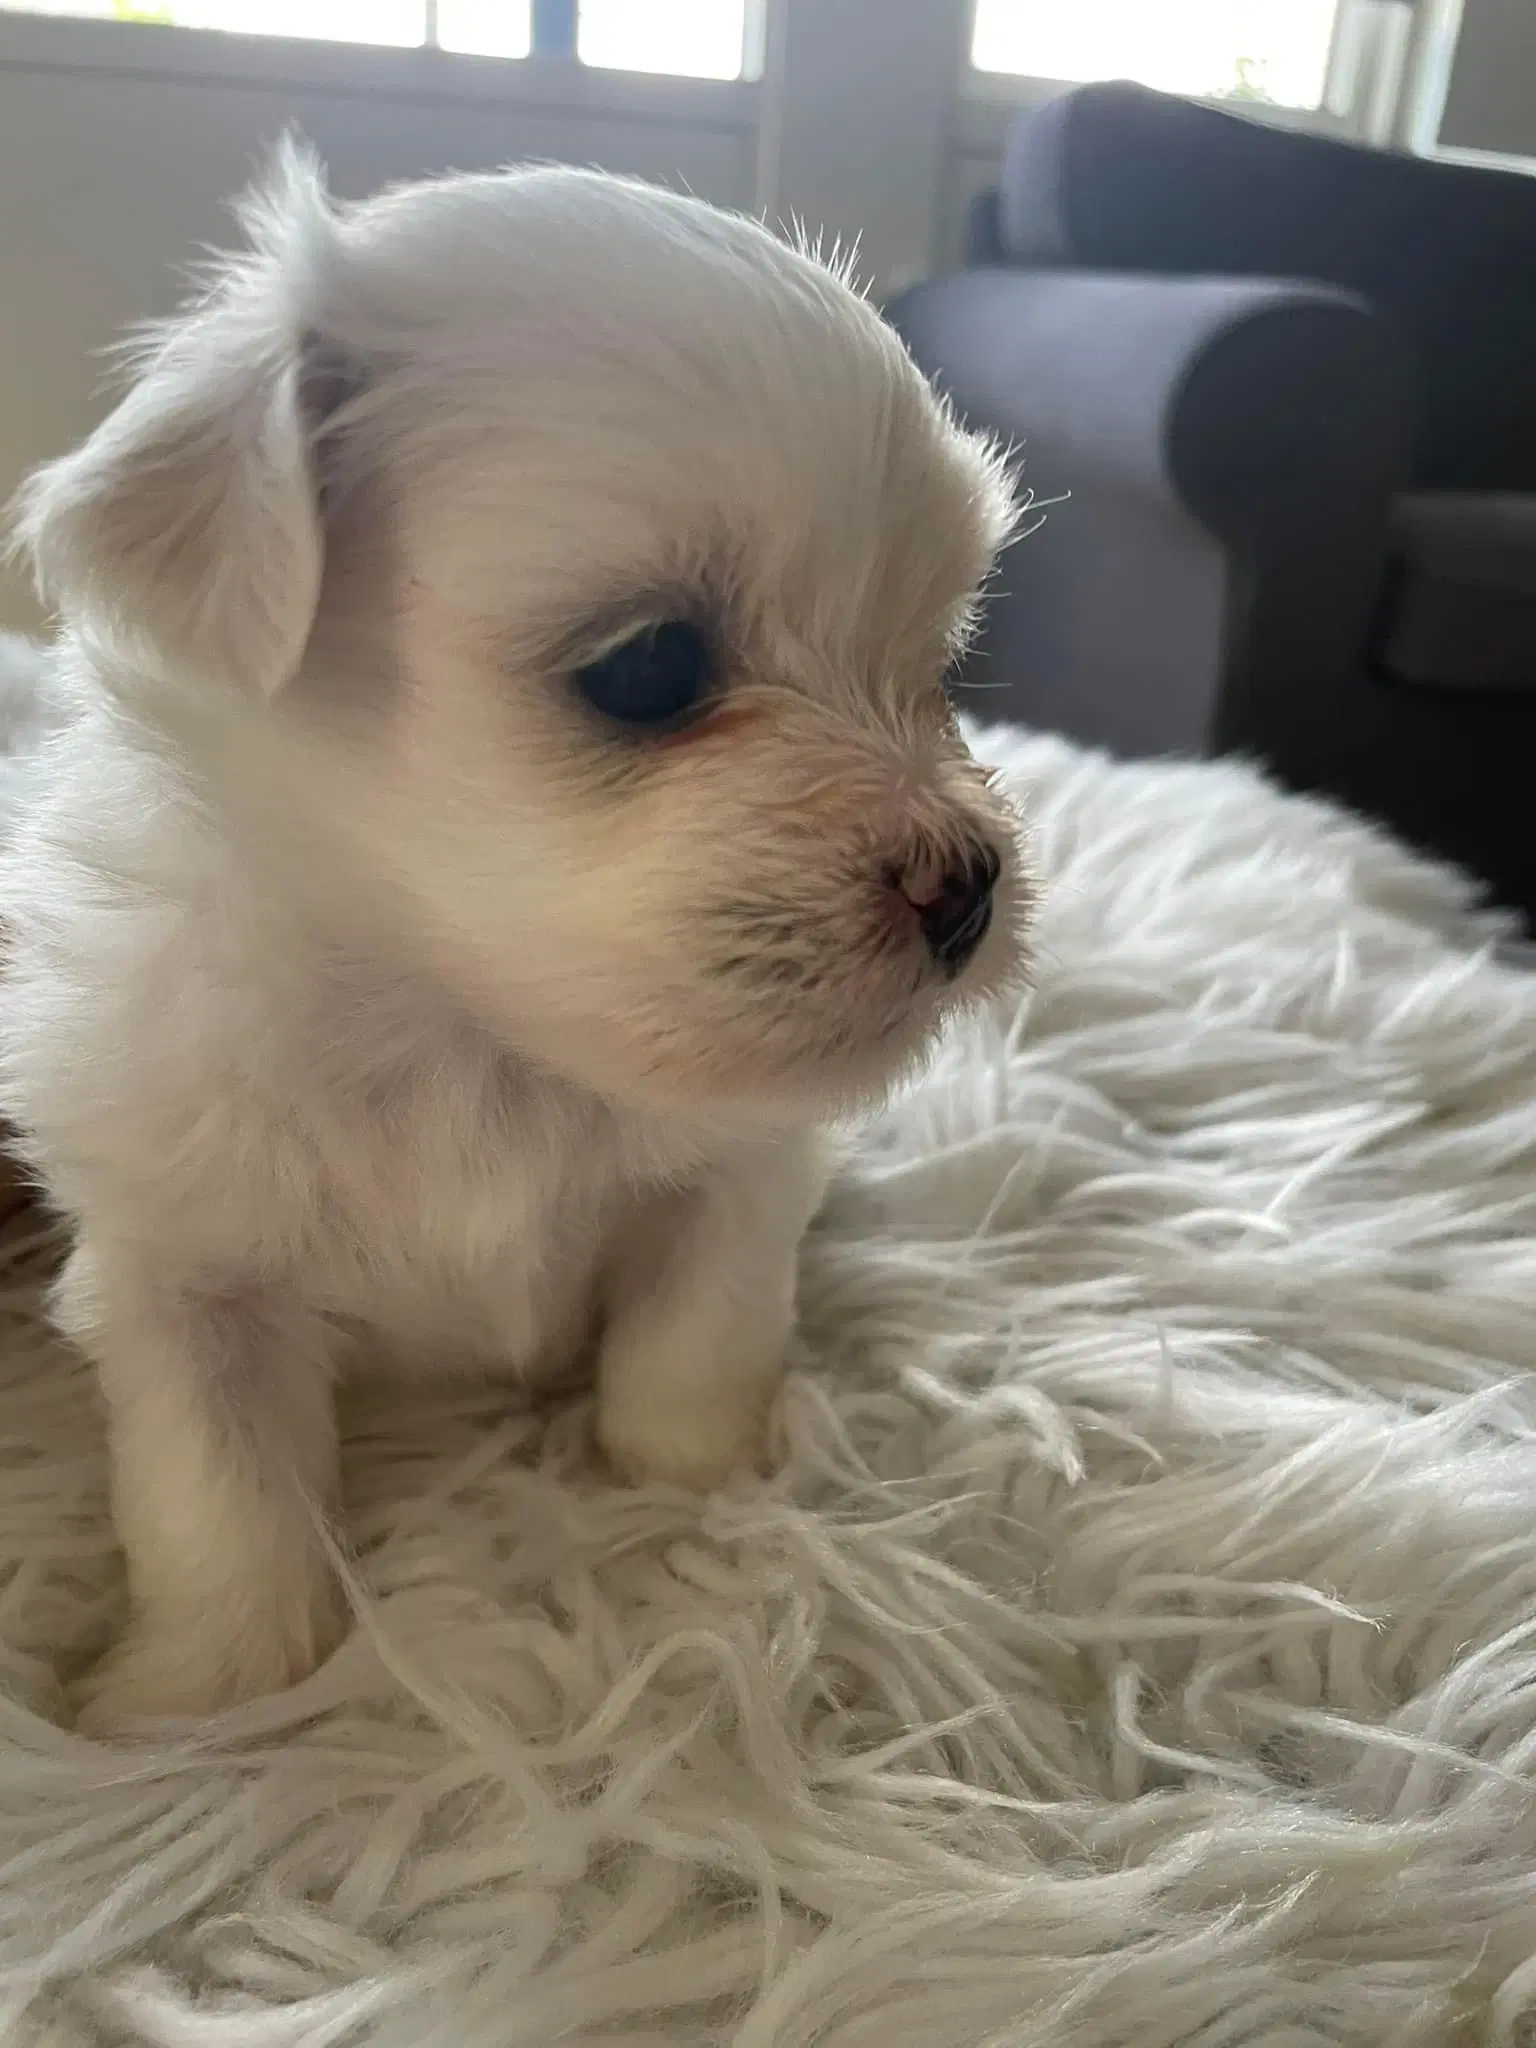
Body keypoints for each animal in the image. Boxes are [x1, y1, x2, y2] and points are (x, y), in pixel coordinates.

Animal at [6, 155, 1036, 1728]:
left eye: (943, 669)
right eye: (649, 667)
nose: (972, 883)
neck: (459, 1029)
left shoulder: (738, 1176)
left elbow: (692, 1349)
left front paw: (702, 1509)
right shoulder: (179, 1269)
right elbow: (215, 1496)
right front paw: (197, 1697)